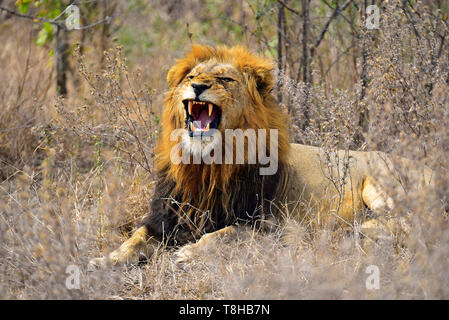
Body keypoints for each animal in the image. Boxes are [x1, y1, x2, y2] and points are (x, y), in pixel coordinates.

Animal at [88, 43, 434, 268]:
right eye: (190, 77)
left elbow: (225, 234)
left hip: (382, 182)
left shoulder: (267, 226)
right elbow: (134, 238)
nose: (198, 86)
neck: (207, 164)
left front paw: (189, 253)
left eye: (225, 79)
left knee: (418, 222)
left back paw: (362, 229)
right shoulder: (164, 217)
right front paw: (106, 259)